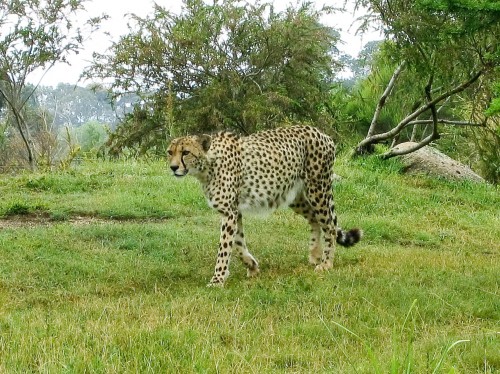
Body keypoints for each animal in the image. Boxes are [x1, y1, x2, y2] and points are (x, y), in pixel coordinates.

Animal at [168, 125, 364, 286]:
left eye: (185, 152)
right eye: (170, 152)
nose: (173, 167)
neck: (208, 165)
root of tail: (321, 132)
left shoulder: (229, 212)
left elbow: (224, 248)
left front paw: (217, 280)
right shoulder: (234, 211)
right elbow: (238, 244)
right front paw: (252, 266)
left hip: (317, 190)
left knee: (329, 226)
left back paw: (326, 263)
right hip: (294, 196)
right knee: (315, 219)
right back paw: (315, 254)